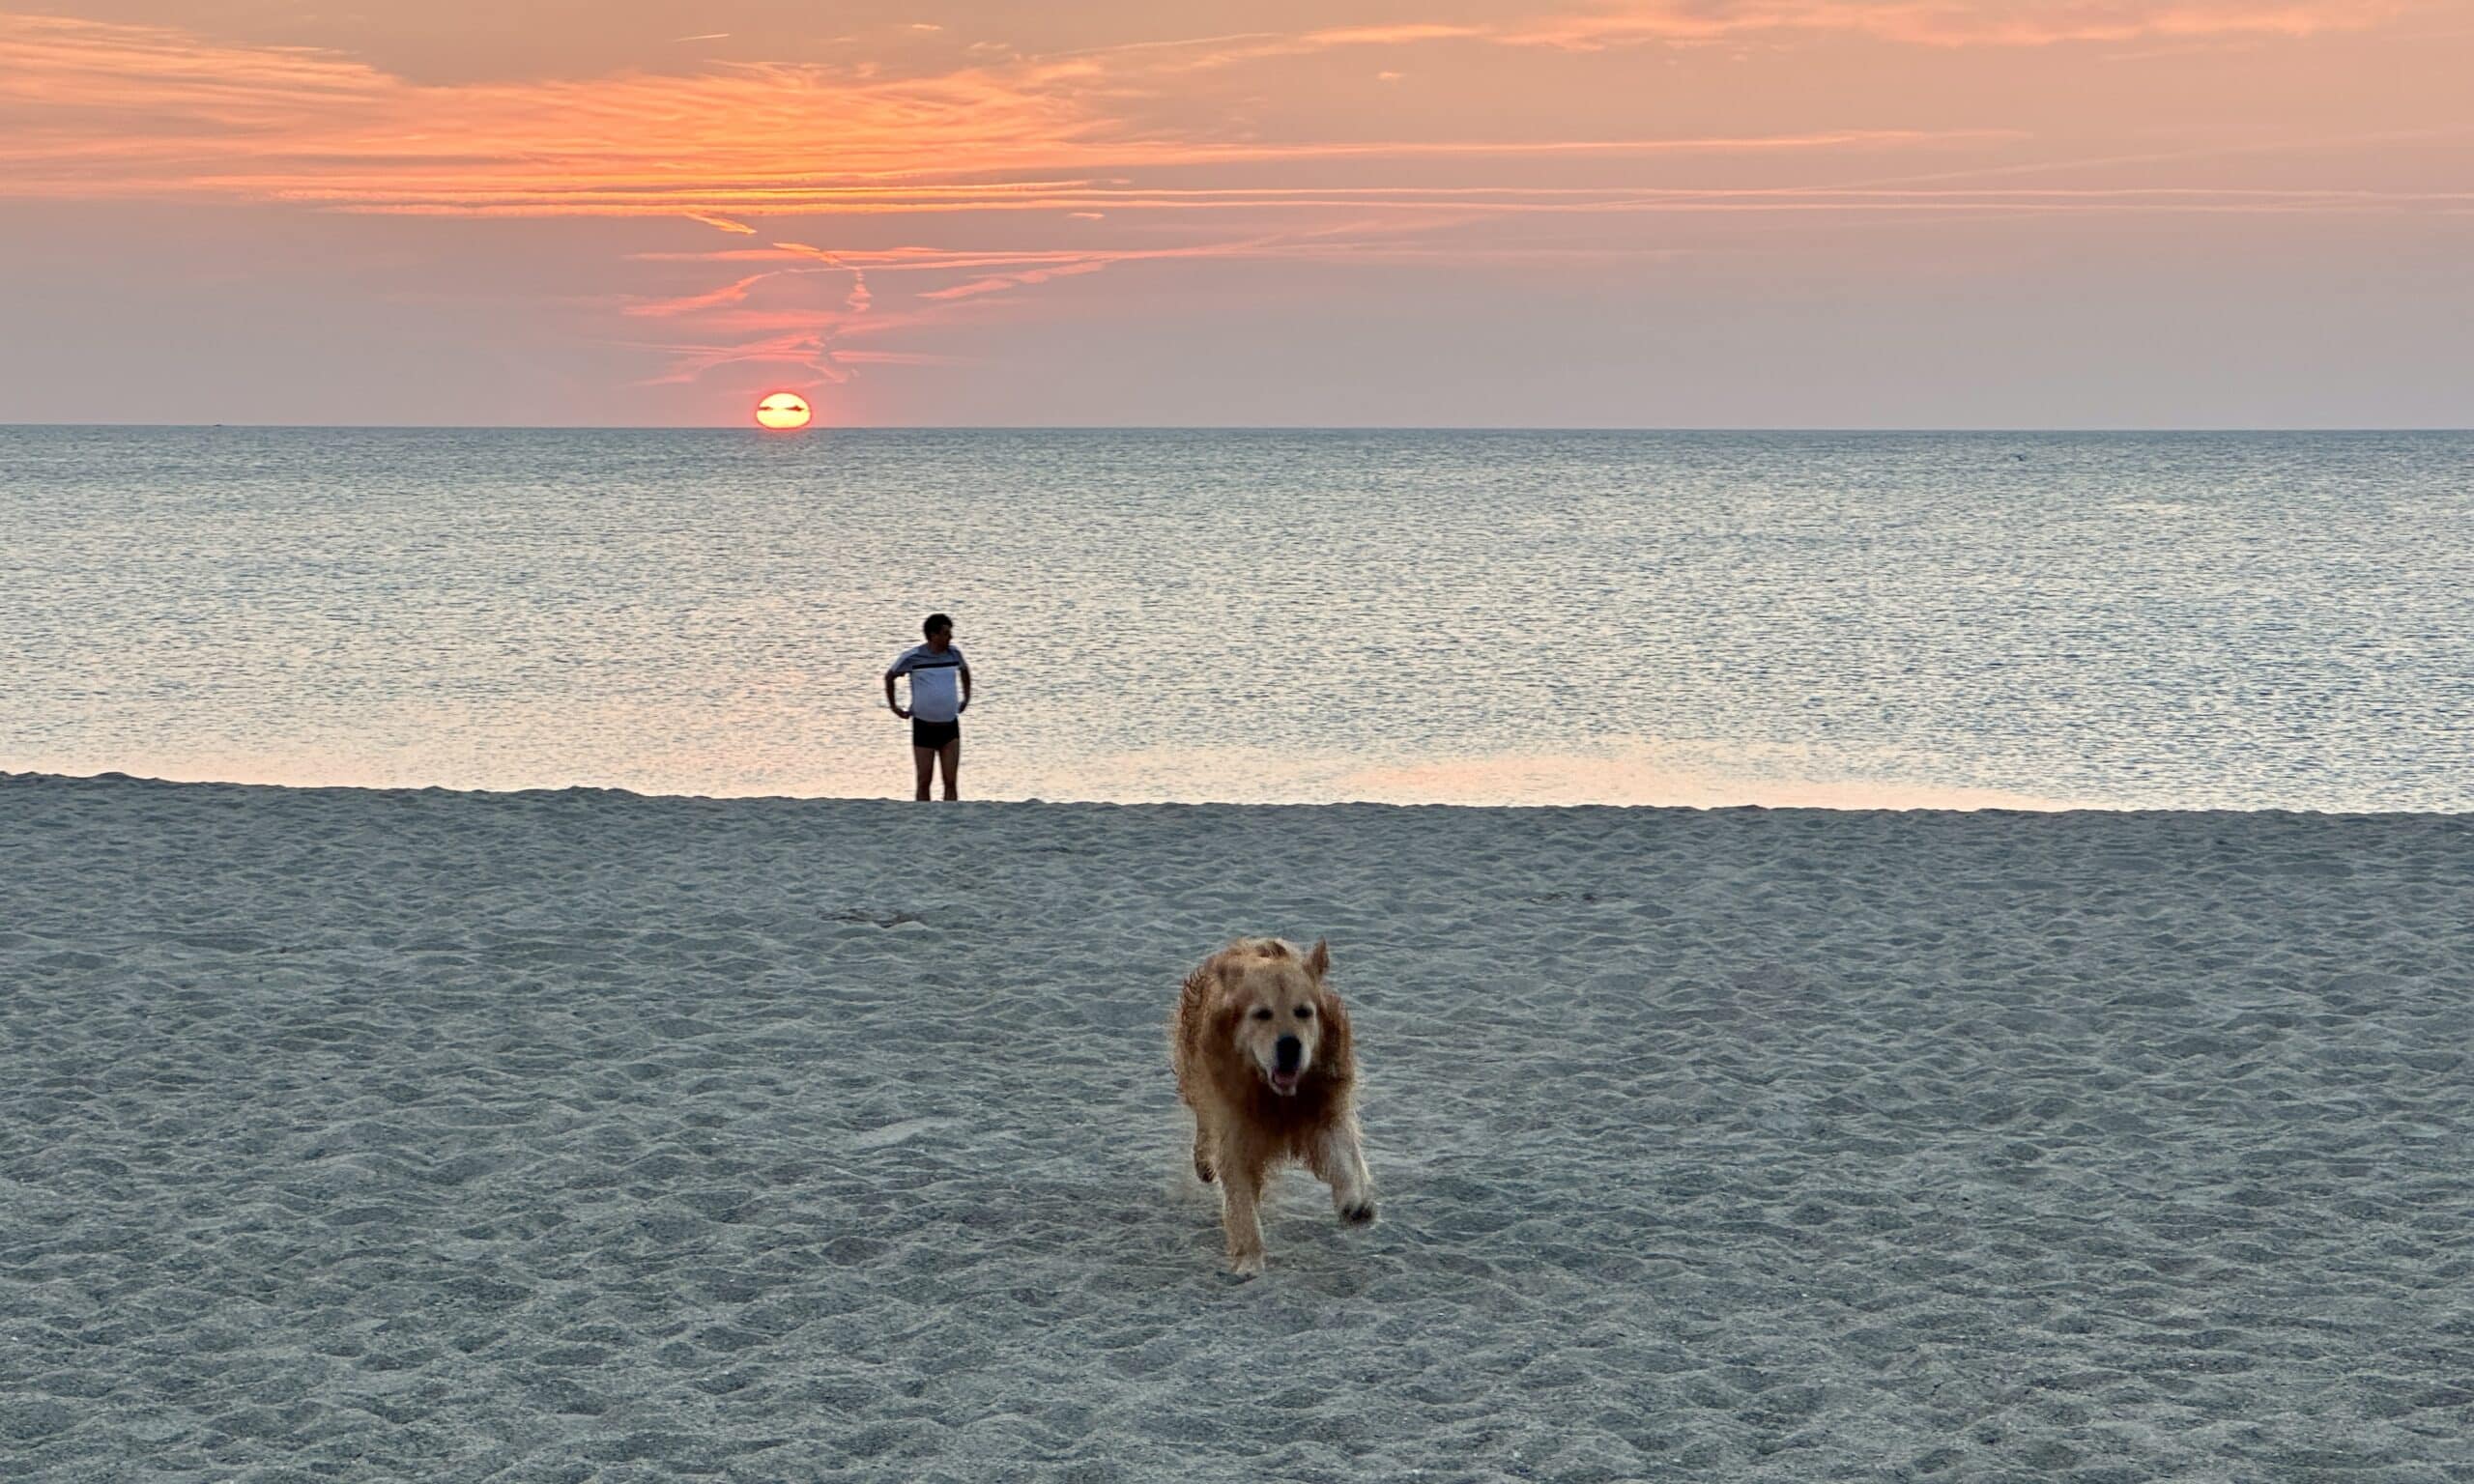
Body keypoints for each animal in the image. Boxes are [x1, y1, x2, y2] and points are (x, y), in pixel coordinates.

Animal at [1172, 939, 1385, 1275]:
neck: (1275, 1096)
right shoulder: (1234, 1130)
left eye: (1304, 1012)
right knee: (1204, 1125)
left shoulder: (1325, 1110)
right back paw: (1203, 1161)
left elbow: (1342, 1155)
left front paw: (1355, 1202)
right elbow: (1241, 1204)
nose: (1289, 1045)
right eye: (1262, 1014)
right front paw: (1249, 1259)